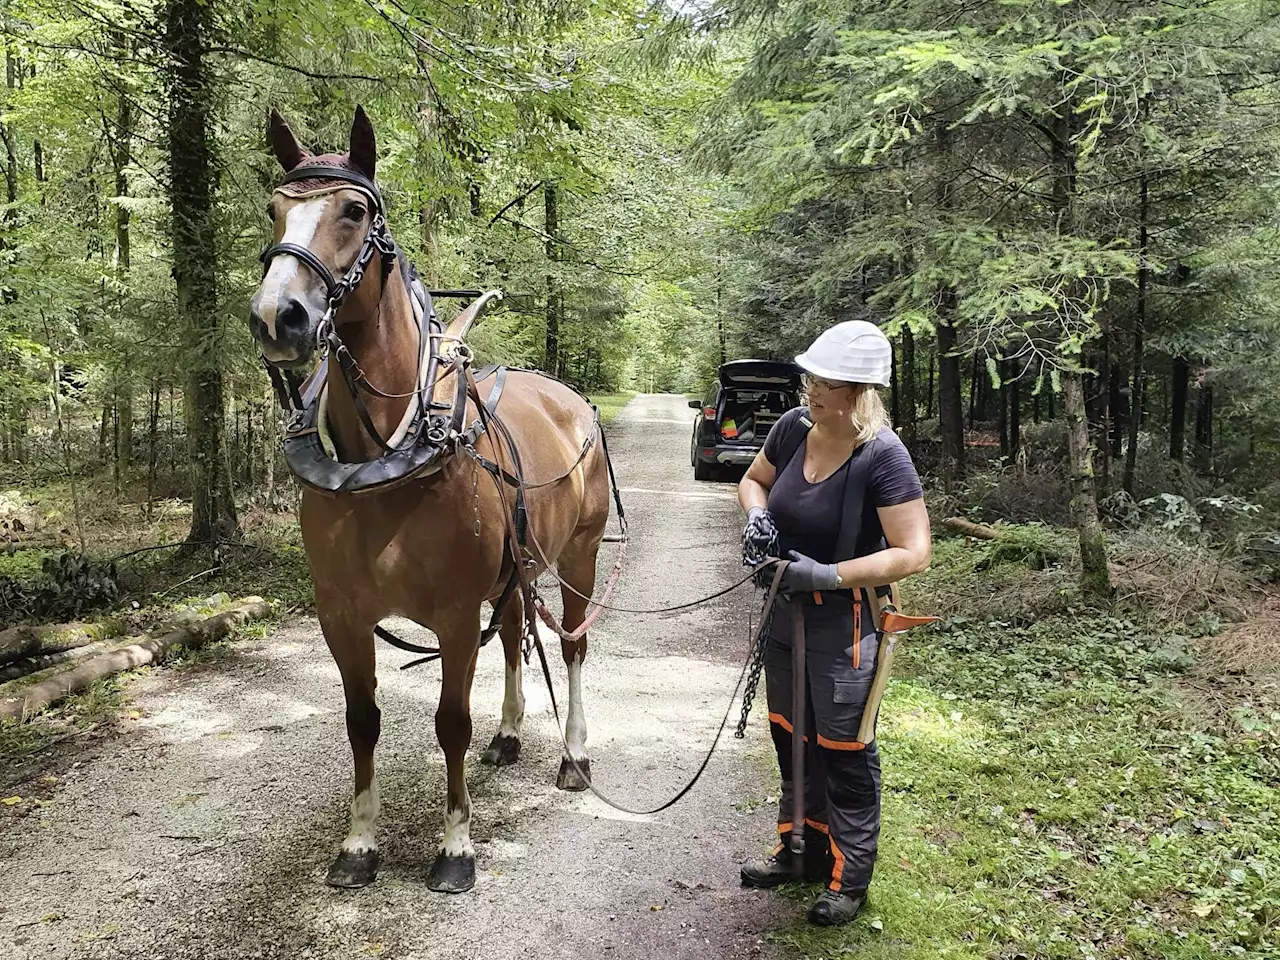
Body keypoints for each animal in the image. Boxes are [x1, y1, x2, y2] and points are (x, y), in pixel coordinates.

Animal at [249, 110, 609, 896]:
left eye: (354, 212)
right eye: (275, 208)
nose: (275, 317)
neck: (382, 458)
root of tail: (569, 400)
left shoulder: (453, 613)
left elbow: (450, 724)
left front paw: (456, 848)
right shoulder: (341, 614)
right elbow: (362, 720)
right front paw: (358, 845)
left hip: (580, 555)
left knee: (570, 645)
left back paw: (572, 755)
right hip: (518, 564)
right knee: (515, 630)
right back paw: (510, 735)